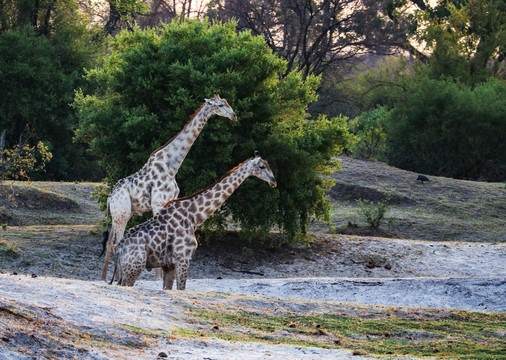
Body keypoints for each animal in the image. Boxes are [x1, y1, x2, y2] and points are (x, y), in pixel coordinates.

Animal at [103, 94, 239, 282]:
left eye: (227, 103)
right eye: (220, 105)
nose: (234, 116)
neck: (171, 165)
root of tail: (110, 198)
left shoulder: (168, 201)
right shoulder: (158, 203)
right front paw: (158, 279)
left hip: (120, 213)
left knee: (110, 242)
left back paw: (105, 278)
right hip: (122, 213)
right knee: (117, 241)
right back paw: (116, 278)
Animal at [112, 153, 276, 292]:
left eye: (268, 164)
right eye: (262, 166)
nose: (274, 181)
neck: (193, 217)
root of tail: (120, 248)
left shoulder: (169, 265)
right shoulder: (183, 259)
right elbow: (182, 289)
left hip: (127, 270)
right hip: (134, 268)